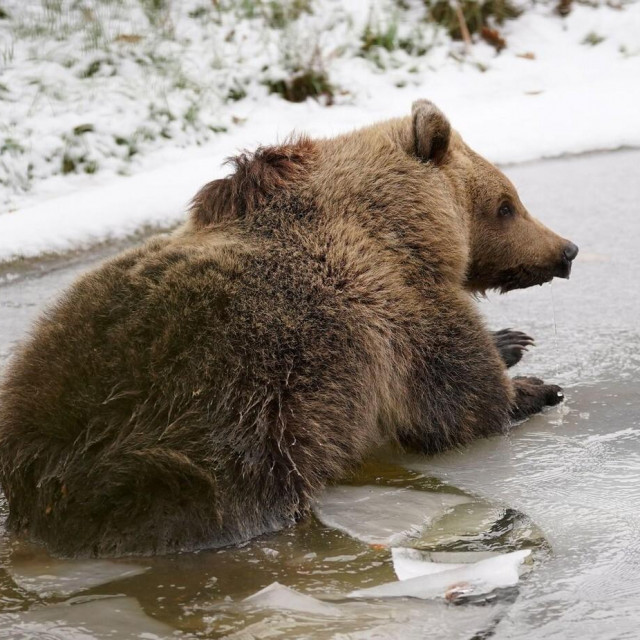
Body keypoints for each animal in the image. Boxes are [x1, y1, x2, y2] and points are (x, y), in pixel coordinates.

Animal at [0, 100, 580, 556]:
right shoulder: (389, 304)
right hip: (223, 417)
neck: (405, 225)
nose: (567, 249)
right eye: (507, 204)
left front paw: (512, 342)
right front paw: (533, 389)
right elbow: (455, 394)